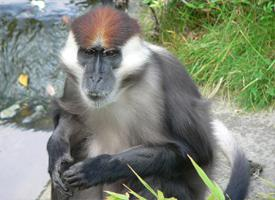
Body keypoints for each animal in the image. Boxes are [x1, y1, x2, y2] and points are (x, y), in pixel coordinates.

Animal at [47, 5, 250, 200]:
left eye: (110, 54)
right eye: (89, 53)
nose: (95, 77)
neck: (121, 90)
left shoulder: (168, 74)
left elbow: (195, 153)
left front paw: (100, 167)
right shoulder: (73, 82)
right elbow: (69, 117)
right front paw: (56, 146)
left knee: (154, 179)